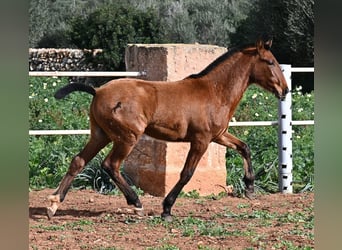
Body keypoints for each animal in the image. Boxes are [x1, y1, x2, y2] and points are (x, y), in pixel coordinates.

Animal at [47, 38, 288, 221]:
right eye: (269, 62)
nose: (284, 90)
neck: (214, 91)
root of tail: (97, 91)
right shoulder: (201, 140)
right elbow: (186, 173)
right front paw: (167, 209)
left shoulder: (218, 135)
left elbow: (244, 147)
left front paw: (249, 187)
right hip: (127, 137)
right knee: (110, 165)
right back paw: (136, 202)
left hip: (101, 135)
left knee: (79, 161)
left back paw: (53, 203)